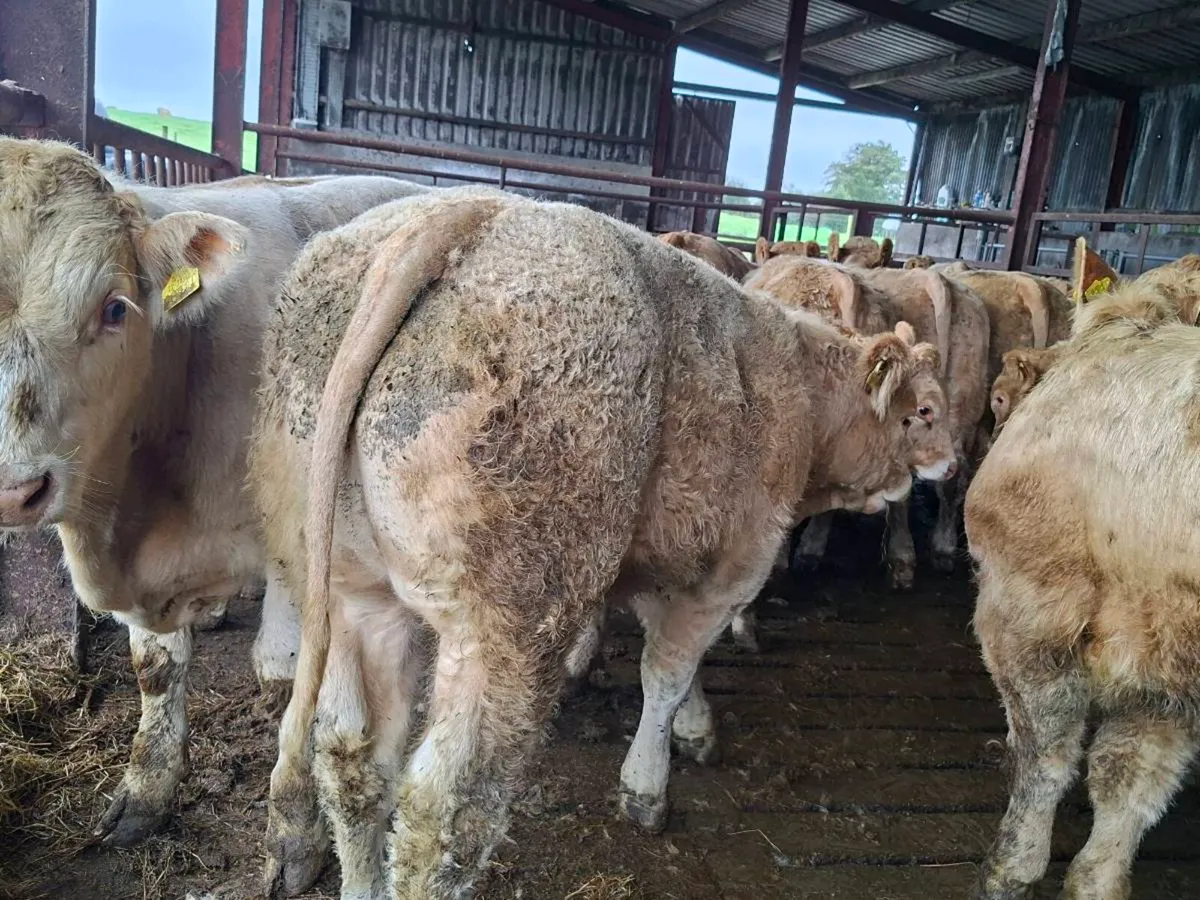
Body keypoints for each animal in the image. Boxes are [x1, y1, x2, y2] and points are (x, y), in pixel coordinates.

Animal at [0, 137, 427, 848]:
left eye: (114, 308)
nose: (14, 490)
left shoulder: (301, 546)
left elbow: (287, 672)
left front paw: (296, 827)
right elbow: (156, 669)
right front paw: (145, 792)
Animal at [249, 187, 953, 899]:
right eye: (921, 412)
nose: (951, 465)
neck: (801, 390)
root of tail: (459, 214)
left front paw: (682, 719)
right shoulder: (730, 564)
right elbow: (667, 671)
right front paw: (650, 782)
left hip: (354, 596)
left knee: (351, 756)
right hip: (507, 628)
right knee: (446, 810)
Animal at [965, 280, 1200, 900]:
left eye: (1000, 399)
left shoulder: (1028, 609)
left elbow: (1046, 755)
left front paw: (1009, 868)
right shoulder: (1162, 660)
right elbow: (1129, 780)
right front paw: (1097, 879)